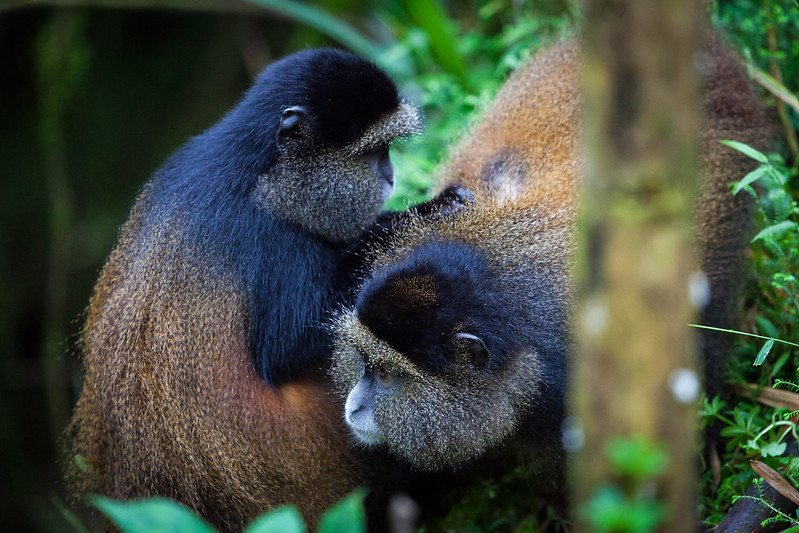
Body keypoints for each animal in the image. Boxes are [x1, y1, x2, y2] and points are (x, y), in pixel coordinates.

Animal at [65, 48, 466, 531]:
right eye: (372, 152)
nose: (390, 175)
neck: (261, 170)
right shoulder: (268, 236)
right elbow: (288, 346)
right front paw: (420, 215)